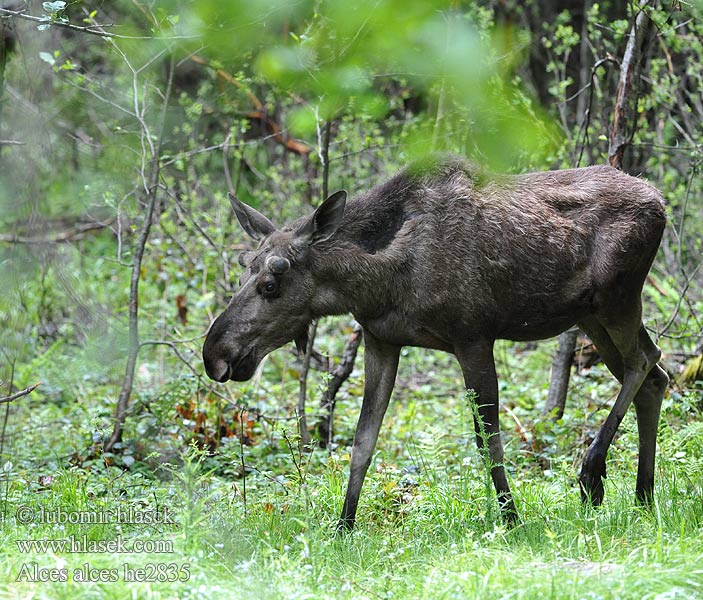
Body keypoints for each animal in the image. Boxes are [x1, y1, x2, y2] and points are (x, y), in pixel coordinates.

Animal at [201, 155, 668, 528]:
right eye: (245, 265)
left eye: (271, 282)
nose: (215, 355)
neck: (378, 283)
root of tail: (660, 201)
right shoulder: (381, 340)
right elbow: (362, 440)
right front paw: (343, 526)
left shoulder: (473, 337)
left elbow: (487, 438)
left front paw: (511, 518)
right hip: (590, 316)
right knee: (655, 376)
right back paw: (644, 497)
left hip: (616, 298)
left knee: (645, 360)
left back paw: (594, 471)